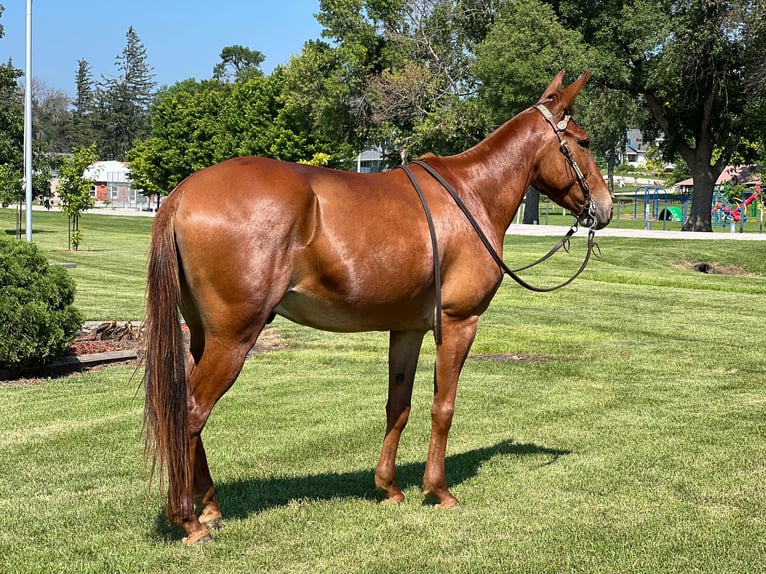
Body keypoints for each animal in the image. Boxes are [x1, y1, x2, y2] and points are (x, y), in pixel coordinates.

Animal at [142, 71, 612, 544]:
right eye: (585, 142)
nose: (606, 208)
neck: (471, 194)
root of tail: (182, 193)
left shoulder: (408, 329)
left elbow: (397, 407)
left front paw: (389, 487)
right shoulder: (458, 323)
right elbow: (443, 407)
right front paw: (438, 490)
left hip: (203, 336)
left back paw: (208, 507)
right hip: (233, 338)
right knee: (191, 414)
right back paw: (188, 521)